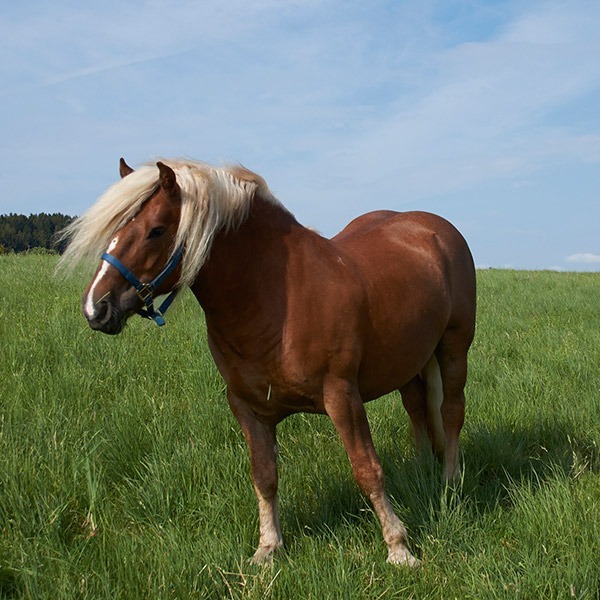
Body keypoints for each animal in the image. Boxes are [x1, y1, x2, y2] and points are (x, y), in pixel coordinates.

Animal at [59, 158, 474, 568]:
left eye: (156, 230)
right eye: (115, 227)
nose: (96, 308)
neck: (277, 298)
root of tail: (432, 227)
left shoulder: (342, 397)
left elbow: (367, 470)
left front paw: (399, 548)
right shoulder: (248, 407)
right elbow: (264, 476)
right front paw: (268, 548)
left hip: (454, 349)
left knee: (451, 412)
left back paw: (449, 482)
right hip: (409, 361)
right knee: (417, 408)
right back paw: (422, 470)